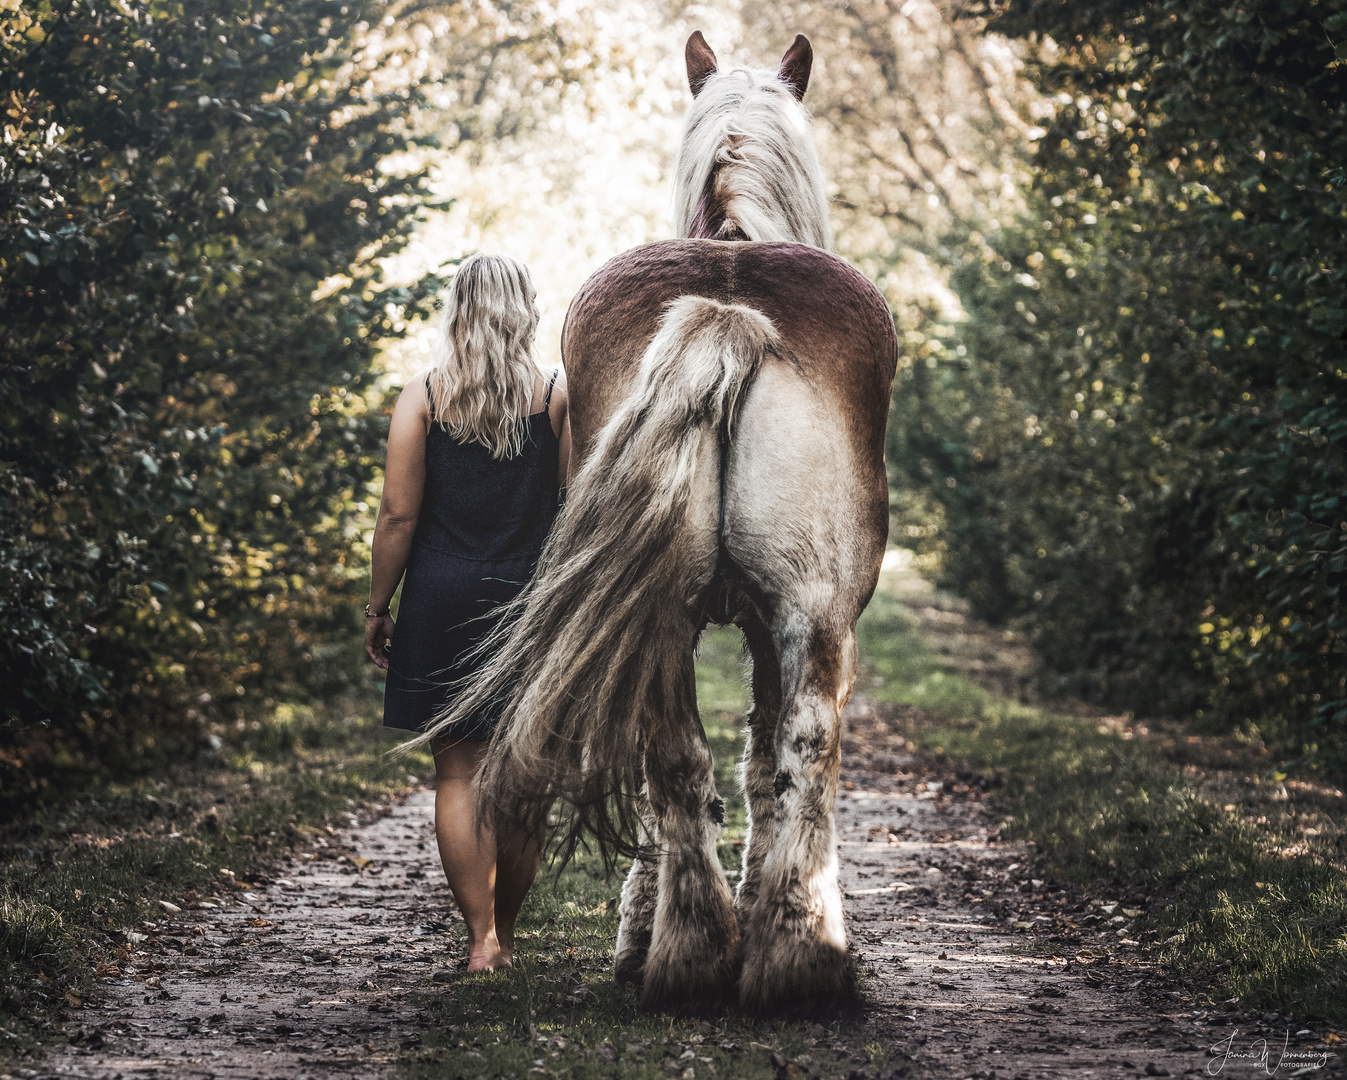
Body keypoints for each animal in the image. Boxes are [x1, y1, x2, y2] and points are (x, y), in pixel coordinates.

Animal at [425, 31, 899, 1012]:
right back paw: (772, 958)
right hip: (806, 614)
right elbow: (762, 765)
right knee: (783, 752)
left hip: (672, 609)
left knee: (685, 758)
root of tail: (725, 311)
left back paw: (707, 955)